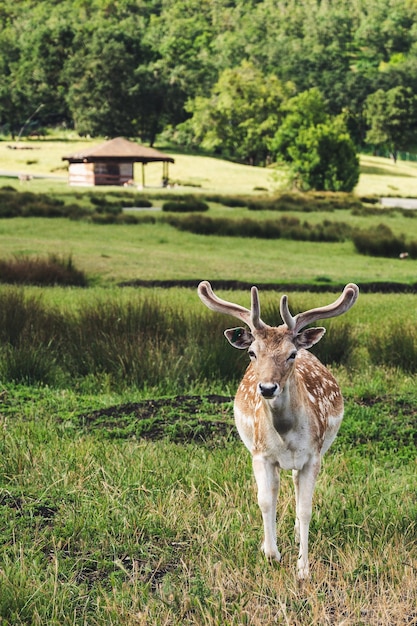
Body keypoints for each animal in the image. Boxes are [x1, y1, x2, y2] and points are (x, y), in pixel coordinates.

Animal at [197, 280, 358, 576]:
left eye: (291, 354)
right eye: (252, 353)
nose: (267, 388)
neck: (285, 435)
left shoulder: (313, 456)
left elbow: (306, 509)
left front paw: (303, 569)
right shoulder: (260, 454)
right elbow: (265, 500)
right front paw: (271, 553)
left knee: (293, 483)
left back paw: (294, 535)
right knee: (275, 489)